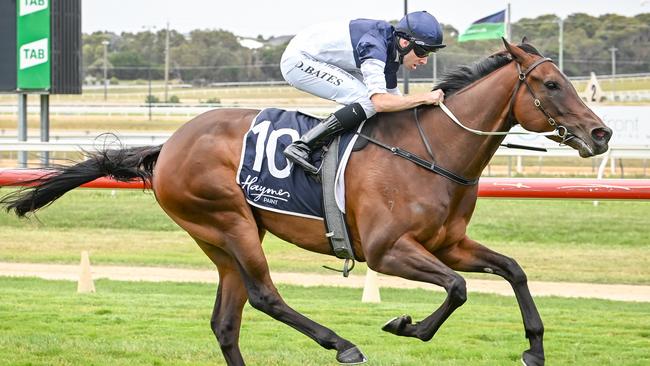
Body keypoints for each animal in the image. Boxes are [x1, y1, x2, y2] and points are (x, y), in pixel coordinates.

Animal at [0, 40, 612, 366]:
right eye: (552, 85)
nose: (602, 133)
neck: (430, 151)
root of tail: (167, 145)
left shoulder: (449, 243)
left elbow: (512, 269)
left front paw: (534, 348)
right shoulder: (388, 251)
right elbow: (459, 289)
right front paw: (404, 325)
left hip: (223, 238)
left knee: (227, 321)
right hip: (227, 222)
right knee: (265, 297)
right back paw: (342, 344)